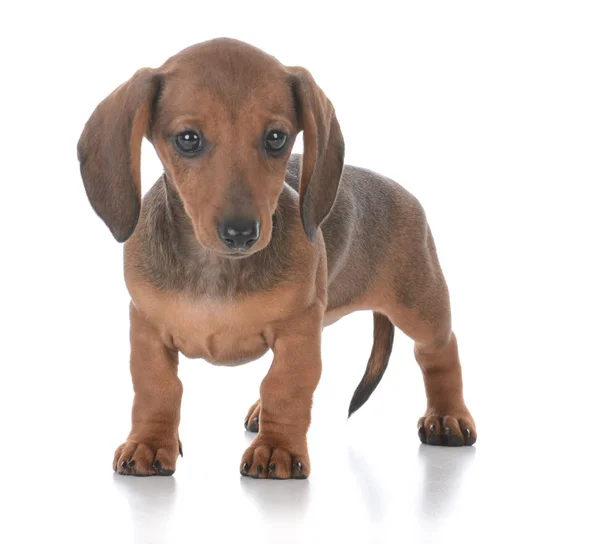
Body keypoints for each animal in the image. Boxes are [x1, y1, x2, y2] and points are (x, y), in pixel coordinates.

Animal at [77, 38, 476, 478]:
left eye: (276, 138)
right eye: (187, 138)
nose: (240, 233)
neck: (215, 269)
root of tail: (405, 193)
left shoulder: (298, 332)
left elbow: (284, 387)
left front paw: (277, 449)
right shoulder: (147, 328)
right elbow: (157, 388)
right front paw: (148, 444)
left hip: (418, 306)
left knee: (439, 350)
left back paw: (448, 416)